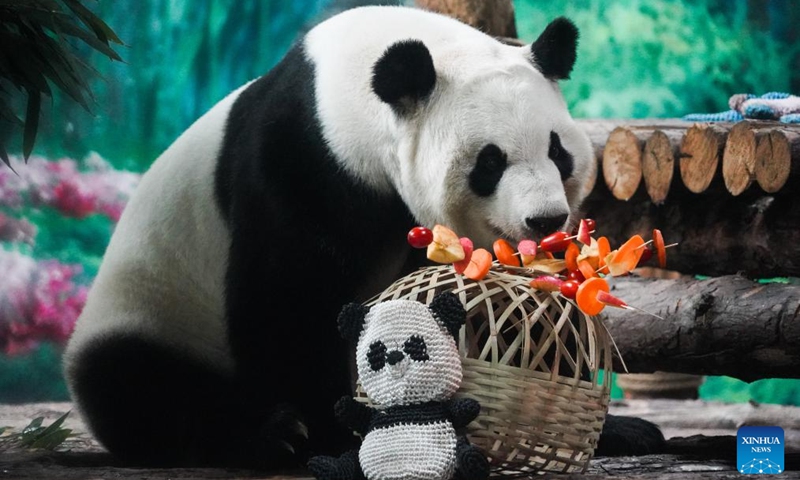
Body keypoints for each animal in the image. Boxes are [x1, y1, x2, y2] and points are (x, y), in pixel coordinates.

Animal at [62, 3, 664, 468]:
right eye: (490, 163)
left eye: (558, 152)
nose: (544, 220)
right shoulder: (301, 162)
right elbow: (289, 301)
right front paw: (332, 433)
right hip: (154, 311)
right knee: (141, 388)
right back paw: (269, 435)